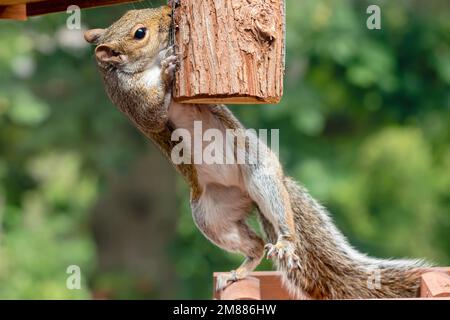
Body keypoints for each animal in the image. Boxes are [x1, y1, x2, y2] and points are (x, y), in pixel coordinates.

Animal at [85, 5, 432, 300]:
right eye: (139, 33)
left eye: (137, 12)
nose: (170, 13)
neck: (137, 70)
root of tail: (245, 195)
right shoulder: (135, 106)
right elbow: (155, 115)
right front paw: (168, 69)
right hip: (212, 216)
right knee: (255, 246)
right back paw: (240, 271)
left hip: (259, 173)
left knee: (275, 224)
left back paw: (284, 242)